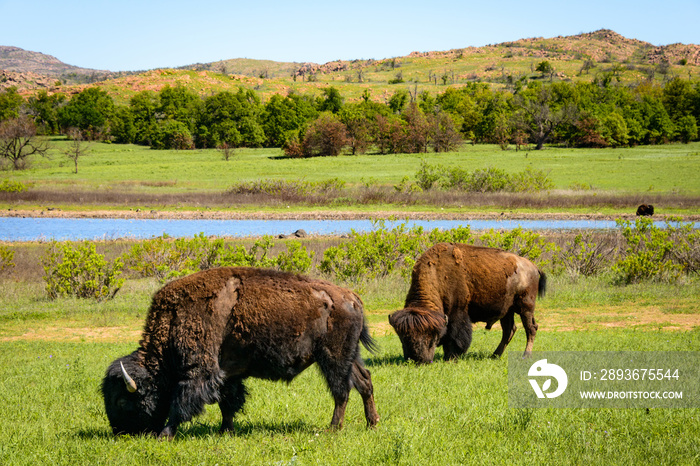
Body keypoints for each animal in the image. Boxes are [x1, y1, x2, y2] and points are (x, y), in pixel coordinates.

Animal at [101, 268, 380, 438]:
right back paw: (372, 423)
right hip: (350, 356)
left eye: (121, 401)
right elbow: (228, 402)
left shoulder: (199, 373)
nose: (119, 433)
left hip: (333, 357)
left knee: (342, 390)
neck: (174, 319)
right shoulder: (228, 373)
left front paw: (165, 435)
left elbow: (182, 402)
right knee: (364, 381)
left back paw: (333, 428)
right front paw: (226, 430)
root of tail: (351, 297)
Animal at [388, 244, 548, 364]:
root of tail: (534, 267)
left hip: (525, 307)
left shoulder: (458, 312)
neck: (438, 273)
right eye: (402, 337)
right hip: (507, 311)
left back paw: (525, 356)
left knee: (531, 328)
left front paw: (451, 358)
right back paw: (495, 355)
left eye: (432, 337)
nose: (417, 360)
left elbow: (456, 336)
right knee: (509, 330)